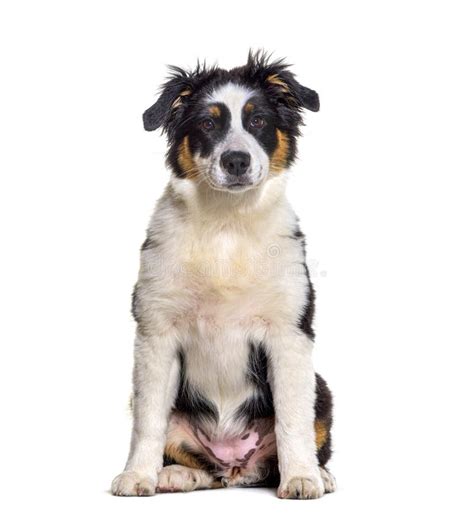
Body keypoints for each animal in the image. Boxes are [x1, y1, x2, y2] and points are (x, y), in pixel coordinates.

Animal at [111, 51, 336, 500]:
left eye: (258, 120)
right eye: (208, 124)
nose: (236, 161)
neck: (227, 226)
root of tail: (236, 468)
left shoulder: (289, 333)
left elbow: (292, 418)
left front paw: (301, 477)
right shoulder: (156, 332)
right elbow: (148, 419)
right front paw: (137, 476)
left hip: (321, 387)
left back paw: (319, 473)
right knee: (203, 466)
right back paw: (177, 476)